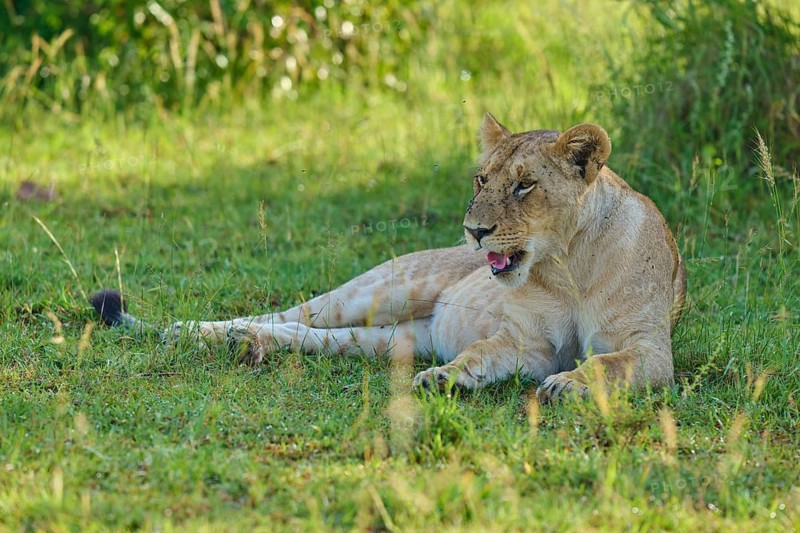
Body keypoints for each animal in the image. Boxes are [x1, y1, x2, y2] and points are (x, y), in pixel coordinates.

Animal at [93, 114, 686, 402]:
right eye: (482, 180)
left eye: (524, 186)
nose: (474, 232)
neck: (566, 267)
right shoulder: (525, 341)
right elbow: (479, 353)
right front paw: (446, 378)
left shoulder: (651, 350)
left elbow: (609, 362)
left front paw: (569, 383)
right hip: (388, 287)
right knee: (291, 313)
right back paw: (198, 331)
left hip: (391, 338)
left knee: (308, 335)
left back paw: (250, 345)